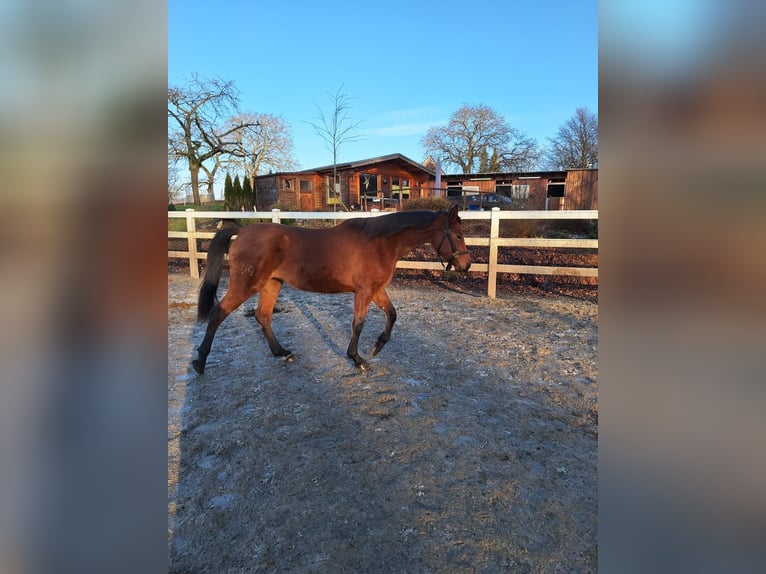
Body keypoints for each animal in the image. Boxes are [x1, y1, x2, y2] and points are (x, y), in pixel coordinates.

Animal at [189, 205, 472, 376]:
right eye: (458, 235)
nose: (466, 265)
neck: (380, 242)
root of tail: (242, 230)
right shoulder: (364, 292)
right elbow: (358, 324)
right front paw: (357, 359)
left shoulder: (376, 290)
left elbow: (392, 314)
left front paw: (377, 346)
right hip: (246, 285)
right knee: (218, 313)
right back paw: (200, 362)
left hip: (272, 284)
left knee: (263, 316)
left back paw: (282, 352)